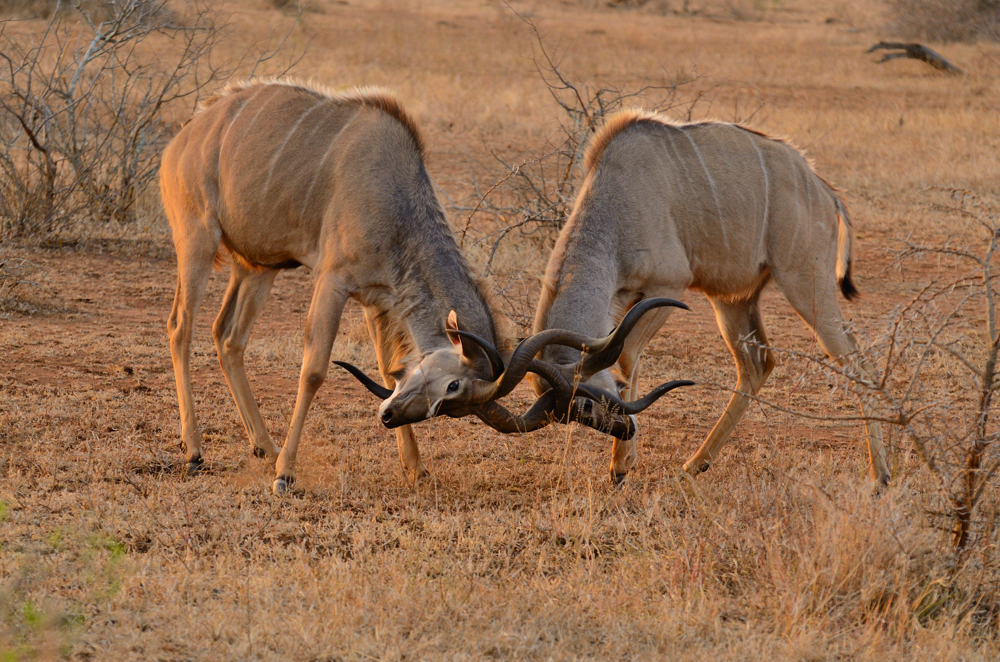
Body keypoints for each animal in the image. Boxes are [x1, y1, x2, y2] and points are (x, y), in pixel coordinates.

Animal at [164, 78, 680, 496]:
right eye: (451, 385)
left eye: (450, 402)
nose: (389, 415)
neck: (392, 196)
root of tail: (187, 132)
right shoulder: (333, 280)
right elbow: (314, 370)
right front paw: (286, 476)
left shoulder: (377, 299)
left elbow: (388, 368)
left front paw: (415, 469)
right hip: (196, 239)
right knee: (180, 327)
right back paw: (195, 453)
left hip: (257, 266)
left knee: (227, 336)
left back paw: (264, 448)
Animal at [532, 110, 892, 488]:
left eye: (585, 405)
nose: (622, 428)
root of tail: (825, 192)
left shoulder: (667, 286)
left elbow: (628, 356)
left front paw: (620, 466)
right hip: (733, 300)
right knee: (758, 364)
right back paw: (695, 464)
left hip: (805, 282)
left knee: (856, 359)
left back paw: (880, 476)